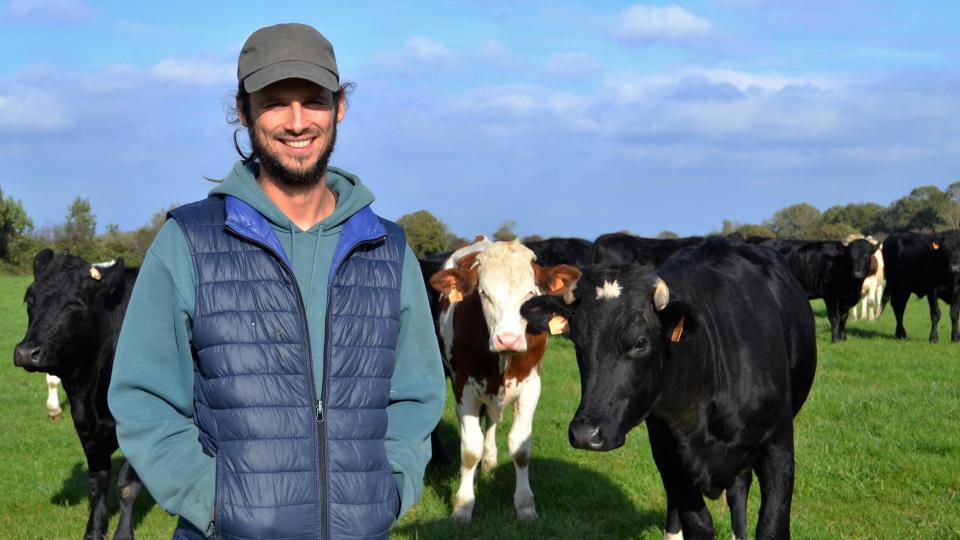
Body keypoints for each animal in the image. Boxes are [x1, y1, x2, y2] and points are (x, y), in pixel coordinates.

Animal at [13, 250, 142, 540]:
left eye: (76, 305)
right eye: (30, 299)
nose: (26, 352)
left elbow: (127, 485)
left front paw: (123, 534)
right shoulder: (85, 424)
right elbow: (98, 481)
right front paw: (94, 530)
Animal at [432, 242, 580, 524]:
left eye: (530, 294)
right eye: (483, 293)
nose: (508, 339)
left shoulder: (531, 386)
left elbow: (520, 448)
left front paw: (525, 505)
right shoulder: (464, 387)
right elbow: (470, 449)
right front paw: (463, 505)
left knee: (490, 421)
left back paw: (489, 459)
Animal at [520, 240, 812, 540]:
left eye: (640, 342)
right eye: (578, 343)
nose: (585, 434)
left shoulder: (778, 446)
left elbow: (772, 526)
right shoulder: (668, 451)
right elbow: (697, 522)